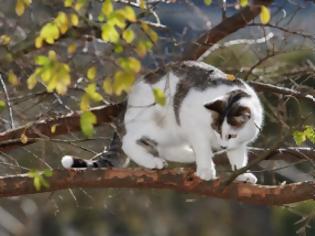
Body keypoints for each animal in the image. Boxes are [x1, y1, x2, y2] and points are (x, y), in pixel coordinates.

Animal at [61, 60, 264, 183]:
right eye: (216, 130)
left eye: (230, 135)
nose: (222, 146)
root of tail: (128, 100)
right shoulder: (194, 126)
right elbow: (203, 148)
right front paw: (206, 170)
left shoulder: (238, 144)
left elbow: (238, 158)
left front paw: (242, 174)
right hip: (158, 121)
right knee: (129, 142)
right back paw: (154, 162)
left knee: (165, 149)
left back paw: (188, 156)